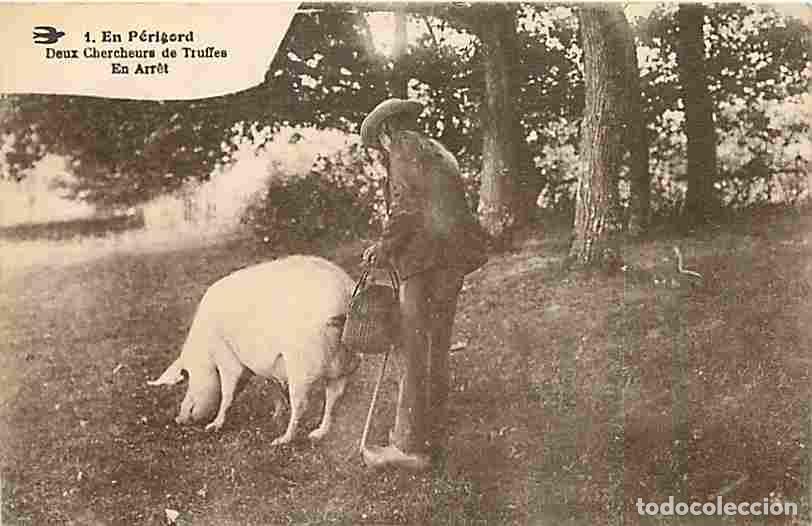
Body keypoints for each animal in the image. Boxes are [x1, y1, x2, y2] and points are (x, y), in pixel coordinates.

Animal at [148, 255, 360, 445]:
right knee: (333, 397)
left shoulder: (226, 357)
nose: (178, 419)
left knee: (301, 403)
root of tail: (345, 292)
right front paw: (275, 416)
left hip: (301, 364)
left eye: (186, 375)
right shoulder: (266, 364)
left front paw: (213, 426)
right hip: (344, 363)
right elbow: (272, 386)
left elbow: (227, 392)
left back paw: (281, 440)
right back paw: (317, 434)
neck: (206, 350)